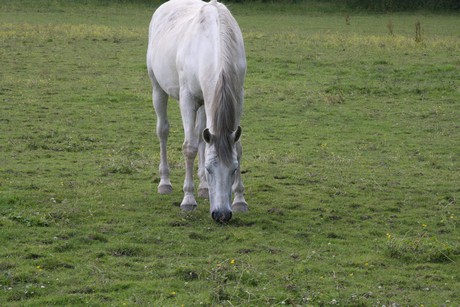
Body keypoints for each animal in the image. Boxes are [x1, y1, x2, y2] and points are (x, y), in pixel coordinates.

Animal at [146, 0, 248, 223]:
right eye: (210, 169)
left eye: (234, 168)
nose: (222, 215)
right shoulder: (187, 99)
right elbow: (189, 147)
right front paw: (188, 200)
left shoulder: (238, 97)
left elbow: (236, 147)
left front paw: (239, 200)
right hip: (158, 89)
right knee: (163, 131)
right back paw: (165, 182)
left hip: (204, 103)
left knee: (203, 136)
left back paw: (203, 188)